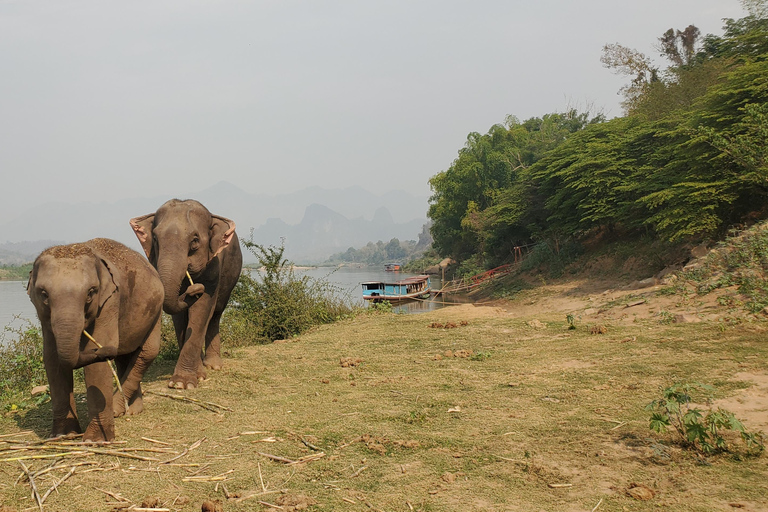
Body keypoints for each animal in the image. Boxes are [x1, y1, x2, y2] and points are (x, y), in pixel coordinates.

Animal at [28, 238, 164, 442]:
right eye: (43, 294)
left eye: (91, 292)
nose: (105, 350)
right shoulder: (43, 315)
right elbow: (52, 358)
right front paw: (63, 435)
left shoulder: (109, 303)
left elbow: (96, 368)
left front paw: (95, 440)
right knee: (125, 357)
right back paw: (130, 411)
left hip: (156, 311)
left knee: (147, 352)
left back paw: (118, 410)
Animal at [129, 200, 243, 388]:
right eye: (155, 238)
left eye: (195, 240)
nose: (195, 289)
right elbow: (180, 316)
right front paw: (193, 377)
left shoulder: (214, 268)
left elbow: (202, 309)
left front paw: (183, 383)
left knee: (216, 314)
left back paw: (213, 365)